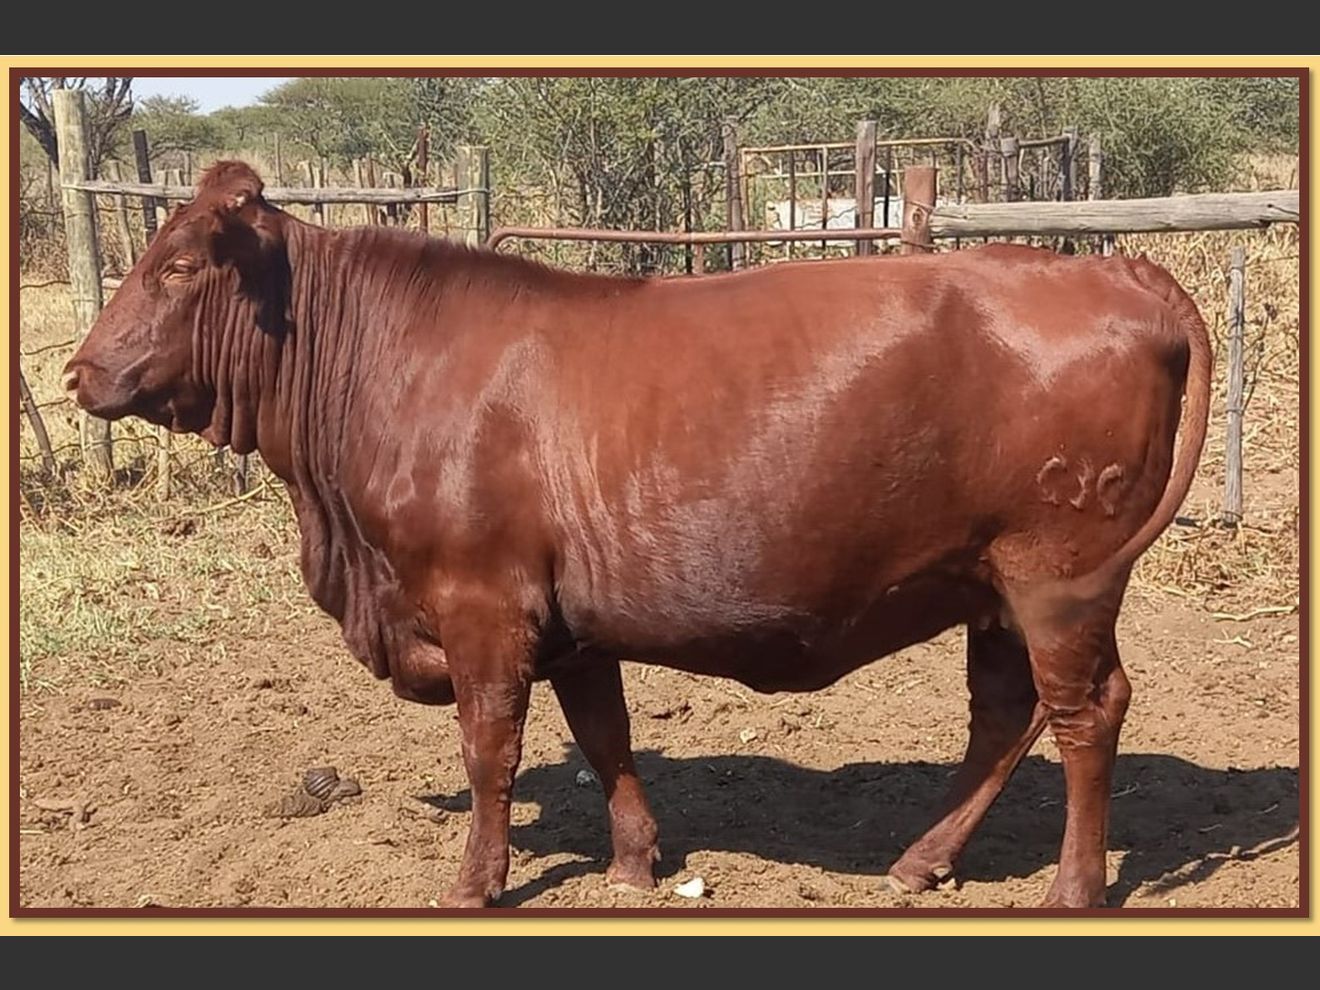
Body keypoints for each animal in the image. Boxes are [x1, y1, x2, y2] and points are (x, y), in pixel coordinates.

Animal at [63, 162, 1211, 909]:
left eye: (177, 268)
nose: (80, 370)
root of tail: (1122, 273)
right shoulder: (572, 619)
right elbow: (603, 734)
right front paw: (631, 865)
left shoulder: (482, 605)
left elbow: (490, 749)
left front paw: (474, 884)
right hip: (993, 584)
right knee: (1007, 714)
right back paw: (922, 860)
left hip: (1058, 575)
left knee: (1086, 714)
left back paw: (1072, 887)